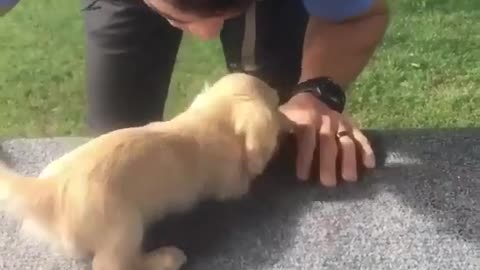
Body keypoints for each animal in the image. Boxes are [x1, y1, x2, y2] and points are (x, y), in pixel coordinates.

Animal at [0, 72, 292, 270]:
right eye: (277, 104)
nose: (292, 123)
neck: (213, 117)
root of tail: (52, 189)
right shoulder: (231, 186)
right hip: (125, 226)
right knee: (113, 265)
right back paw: (167, 257)